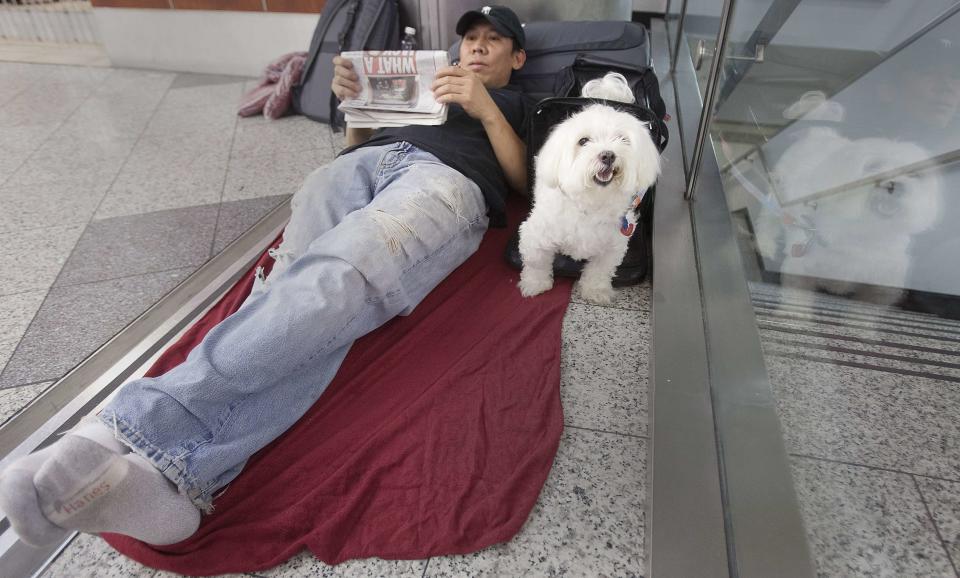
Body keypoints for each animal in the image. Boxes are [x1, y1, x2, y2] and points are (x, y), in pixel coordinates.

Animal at [516, 75, 660, 306]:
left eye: (623, 139)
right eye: (583, 141)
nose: (608, 155)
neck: (592, 203)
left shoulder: (612, 246)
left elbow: (599, 271)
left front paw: (595, 290)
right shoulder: (536, 237)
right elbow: (537, 263)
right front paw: (535, 285)